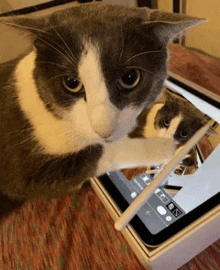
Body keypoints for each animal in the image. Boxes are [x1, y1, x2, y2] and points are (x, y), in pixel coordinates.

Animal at [0, 2, 206, 217]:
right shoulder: (22, 174)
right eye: (71, 83)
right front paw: (166, 147)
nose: (104, 129)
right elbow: (95, 155)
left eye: (130, 78)